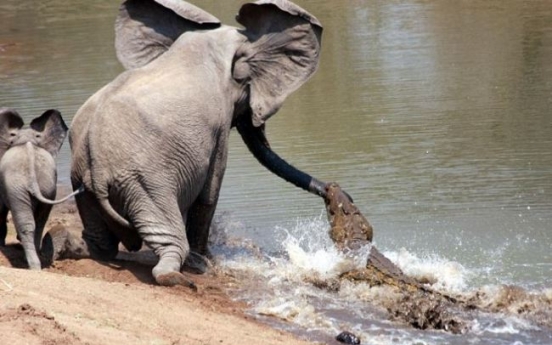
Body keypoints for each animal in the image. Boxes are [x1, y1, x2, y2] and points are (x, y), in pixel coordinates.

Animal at [66, 0, 332, 286]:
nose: (334, 192)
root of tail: (97, 164)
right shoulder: (219, 123)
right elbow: (209, 192)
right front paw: (207, 261)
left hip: (82, 181)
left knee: (99, 240)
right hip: (144, 182)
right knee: (170, 239)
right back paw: (179, 275)